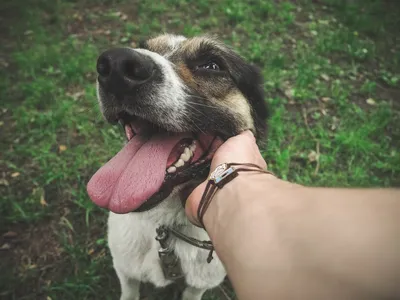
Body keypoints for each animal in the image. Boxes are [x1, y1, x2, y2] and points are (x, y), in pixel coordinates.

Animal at [87, 33, 268, 300]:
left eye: (212, 65)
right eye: (144, 48)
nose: (116, 65)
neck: (166, 224)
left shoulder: (200, 282)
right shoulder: (125, 269)